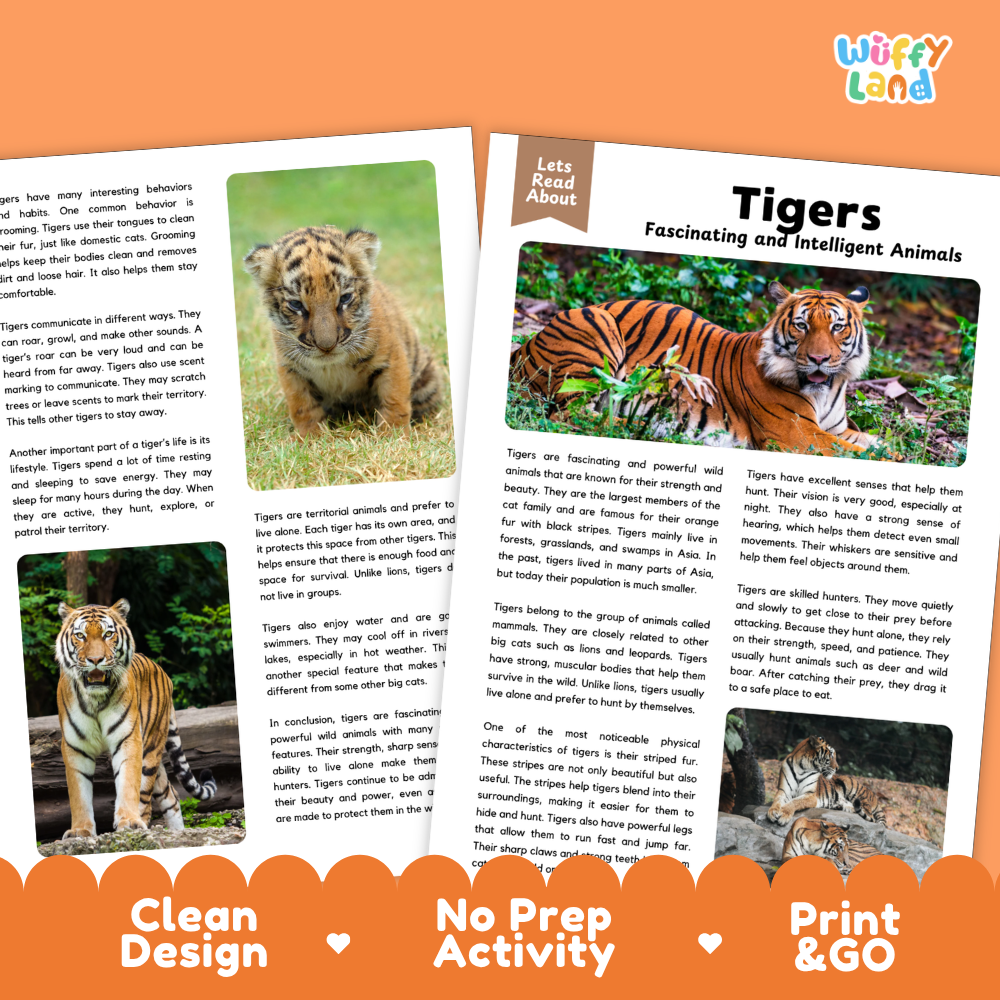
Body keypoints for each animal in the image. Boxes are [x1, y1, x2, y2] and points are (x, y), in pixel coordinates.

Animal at [55, 599, 217, 840]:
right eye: (81, 636)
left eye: (108, 634)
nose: (95, 660)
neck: (96, 700)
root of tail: (163, 671)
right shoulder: (76, 747)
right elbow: (79, 794)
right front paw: (80, 831)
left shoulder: (128, 739)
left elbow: (128, 784)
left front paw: (129, 822)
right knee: (171, 795)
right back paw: (177, 833)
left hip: (150, 749)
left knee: (147, 798)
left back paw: (142, 824)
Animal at [244, 225, 443, 438]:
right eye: (296, 304)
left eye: (345, 298)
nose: (327, 346)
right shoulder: (290, 368)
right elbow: (303, 406)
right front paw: (311, 438)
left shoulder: (392, 358)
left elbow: (394, 399)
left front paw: (394, 436)